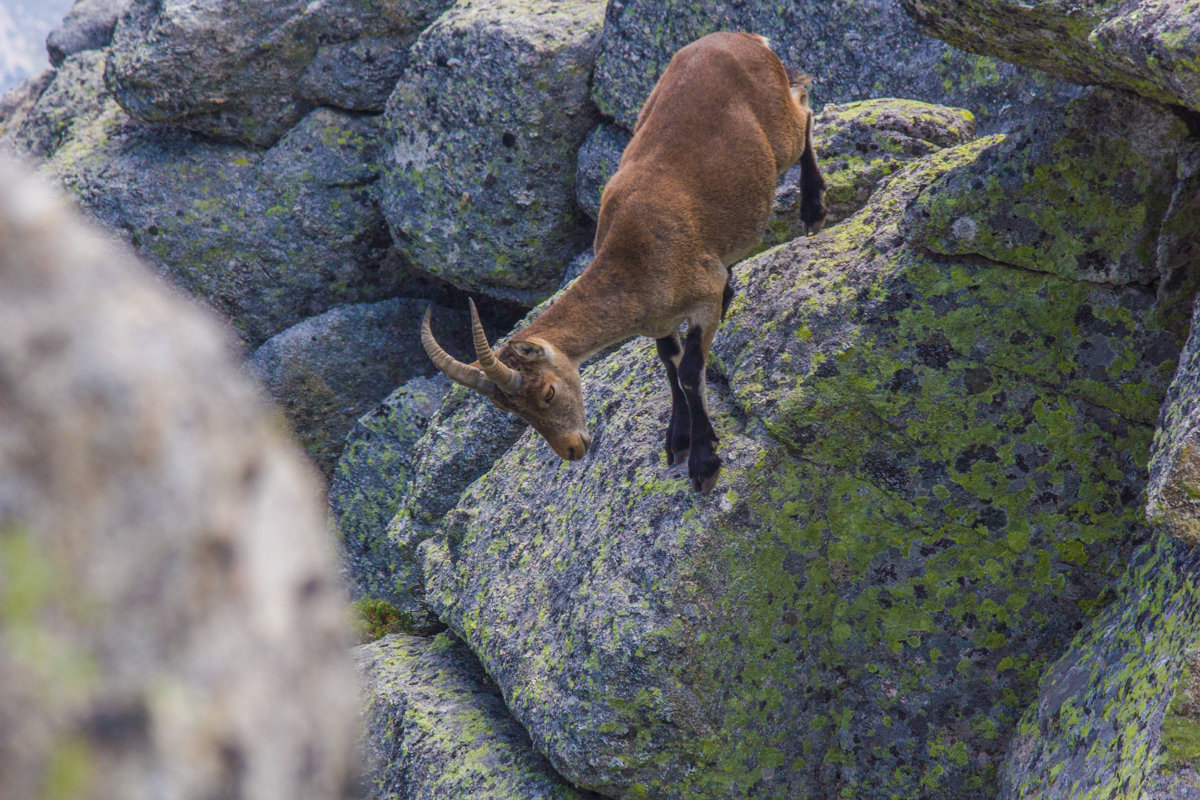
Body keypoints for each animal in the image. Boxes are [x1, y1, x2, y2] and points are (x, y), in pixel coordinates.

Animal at [422, 31, 825, 491]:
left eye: (548, 392)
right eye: (512, 410)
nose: (573, 450)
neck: (634, 263)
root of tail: (746, 39)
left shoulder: (699, 298)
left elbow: (690, 371)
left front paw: (704, 462)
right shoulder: (661, 321)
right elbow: (670, 364)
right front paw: (677, 439)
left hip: (781, 135)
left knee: (805, 108)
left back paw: (814, 208)